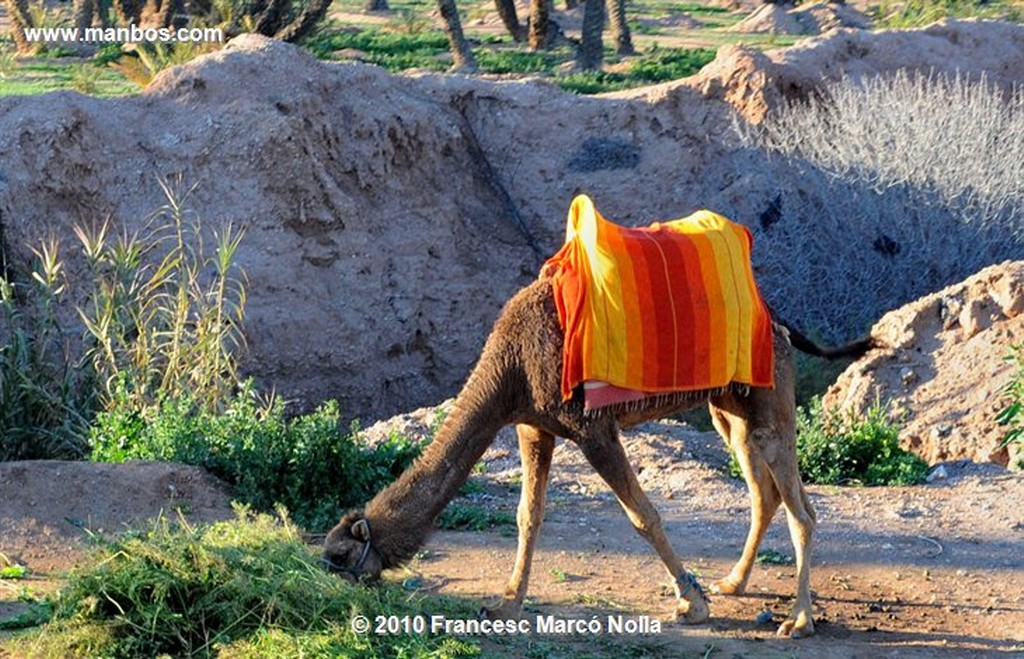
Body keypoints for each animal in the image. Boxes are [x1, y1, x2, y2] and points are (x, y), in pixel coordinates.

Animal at [323, 274, 868, 638]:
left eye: (341, 554)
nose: (332, 588)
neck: (509, 367)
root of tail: (777, 322)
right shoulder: (532, 425)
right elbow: (527, 516)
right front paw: (505, 605)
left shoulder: (593, 428)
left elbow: (643, 516)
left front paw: (692, 605)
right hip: (728, 409)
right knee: (764, 492)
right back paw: (734, 583)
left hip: (769, 397)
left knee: (801, 507)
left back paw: (799, 621)